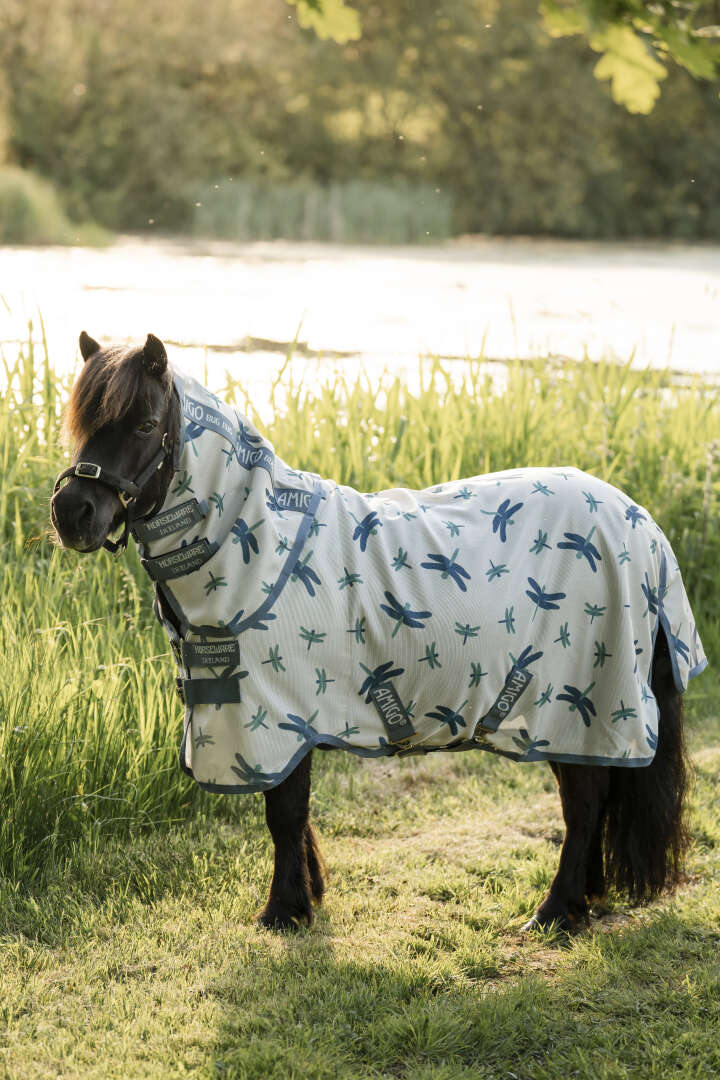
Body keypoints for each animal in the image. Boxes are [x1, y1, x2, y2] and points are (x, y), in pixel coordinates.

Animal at [51, 332, 706, 935]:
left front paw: (284, 912)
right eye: (80, 422)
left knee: (585, 801)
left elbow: (284, 815)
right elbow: (292, 816)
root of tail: (642, 524)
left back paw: (556, 912)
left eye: (144, 424)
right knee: (591, 798)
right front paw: (306, 896)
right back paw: (583, 901)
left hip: (578, 703)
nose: (72, 512)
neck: (256, 551)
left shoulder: (280, 720)